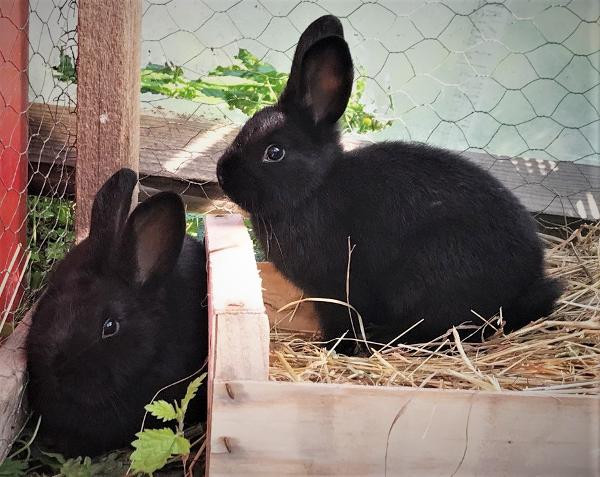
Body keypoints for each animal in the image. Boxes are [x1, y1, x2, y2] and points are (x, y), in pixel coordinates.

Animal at [217, 14, 564, 352]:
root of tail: (526, 285)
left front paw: (337, 349)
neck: (315, 188)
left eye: (274, 152)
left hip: (428, 275)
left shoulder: (339, 288)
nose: (222, 174)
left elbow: (343, 319)